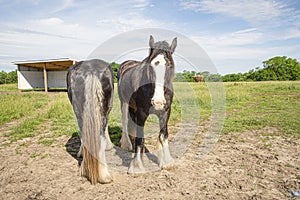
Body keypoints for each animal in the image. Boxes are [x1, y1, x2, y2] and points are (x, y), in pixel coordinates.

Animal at [117, 35, 177, 173]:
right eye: (151, 65)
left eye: (170, 65)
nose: (158, 102)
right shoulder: (142, 112)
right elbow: (140, 138)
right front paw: (137, 167)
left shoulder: (166, 111)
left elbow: (163, 135)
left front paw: (167, 162)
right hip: (124, 102)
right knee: (125, 121)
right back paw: (127, 144)